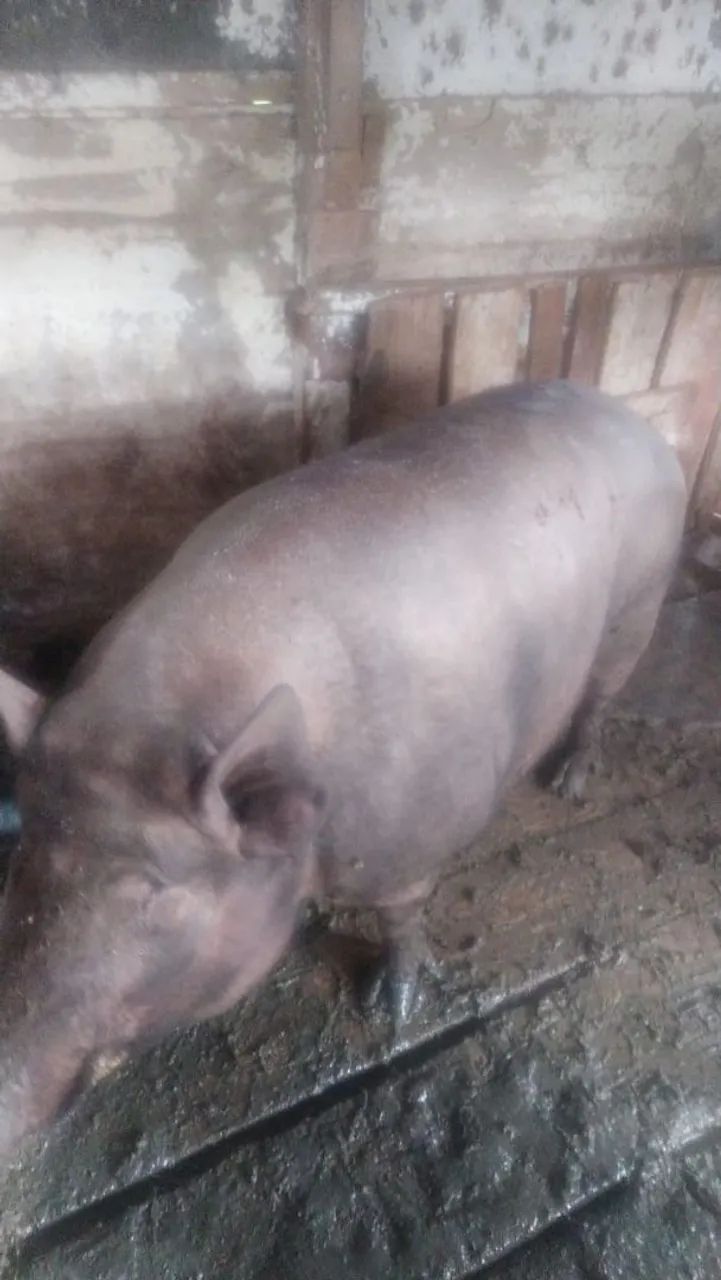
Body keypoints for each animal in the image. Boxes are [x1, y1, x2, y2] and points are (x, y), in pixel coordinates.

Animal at [0, 380, 686, 1157]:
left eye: (153, 890)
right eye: (23, 853)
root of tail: (629, 415)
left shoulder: (409, 842)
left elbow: (401, 919)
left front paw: (392, 1008)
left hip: (638, 603)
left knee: (601, 696)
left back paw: (568, 786)